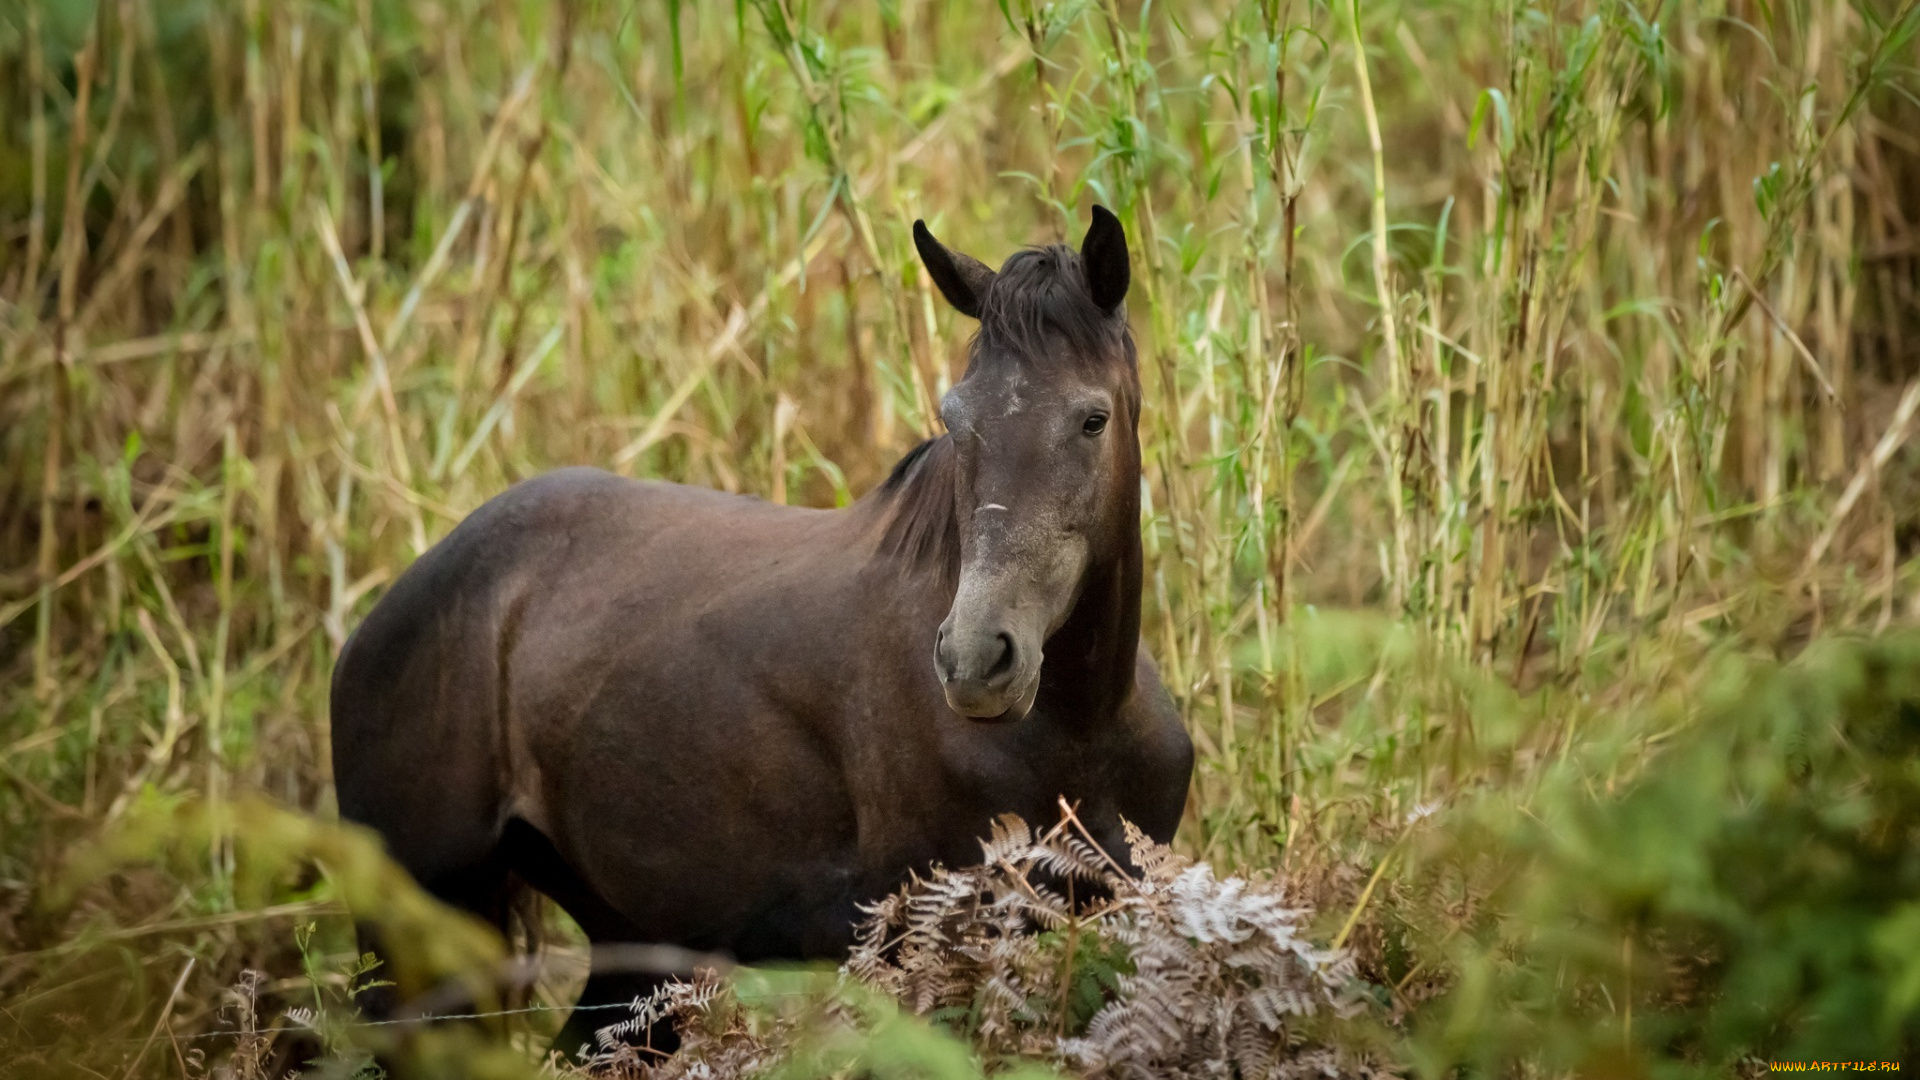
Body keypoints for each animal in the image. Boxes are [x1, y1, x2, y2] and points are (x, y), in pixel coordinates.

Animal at [334, 205, 1198, 1053]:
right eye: (956, 419)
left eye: (1092, 419)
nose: (975, 662)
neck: (1080, 725)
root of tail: (373, 626)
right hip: (416, 940)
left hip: (629, 954)